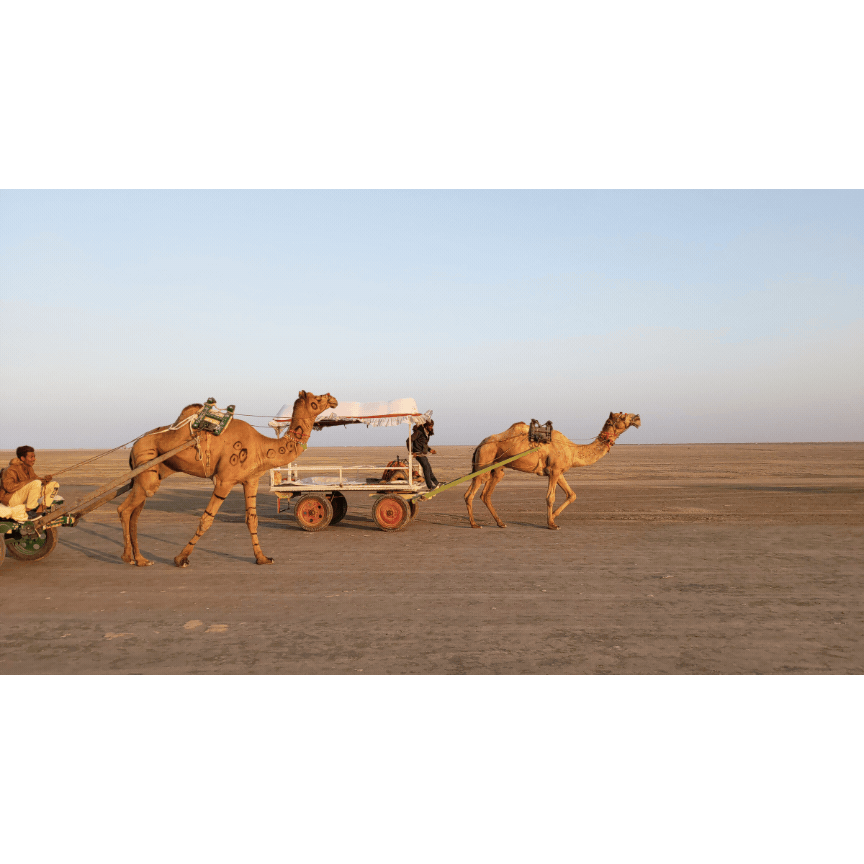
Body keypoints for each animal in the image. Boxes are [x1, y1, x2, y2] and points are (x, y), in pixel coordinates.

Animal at [118, 390, 338, 567]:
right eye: (317, 399)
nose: (333, 399)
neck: (261, 447)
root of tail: (134, 445)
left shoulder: (251, 481)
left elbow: (252, 520)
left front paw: (262, 558)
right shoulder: (225, 480)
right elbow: (206, 519)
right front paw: (181, 559)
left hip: (152, 474)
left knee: (134, 512)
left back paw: (139, 558)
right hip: (146, 469)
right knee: (125, 509)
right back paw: (130, 558)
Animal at [464, 412, 641, 530]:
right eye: (623, 415)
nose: (638, 417)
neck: (573, 450)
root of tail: (480, 444)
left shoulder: (559, 472)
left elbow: (572, 495)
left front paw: (553, 516)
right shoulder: (554, 470)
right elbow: (550, 497)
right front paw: (551, 524)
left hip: (496, 468)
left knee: (485, 494)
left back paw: (500, 523)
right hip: (484, 462)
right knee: (470, 494)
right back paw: (474, 524)